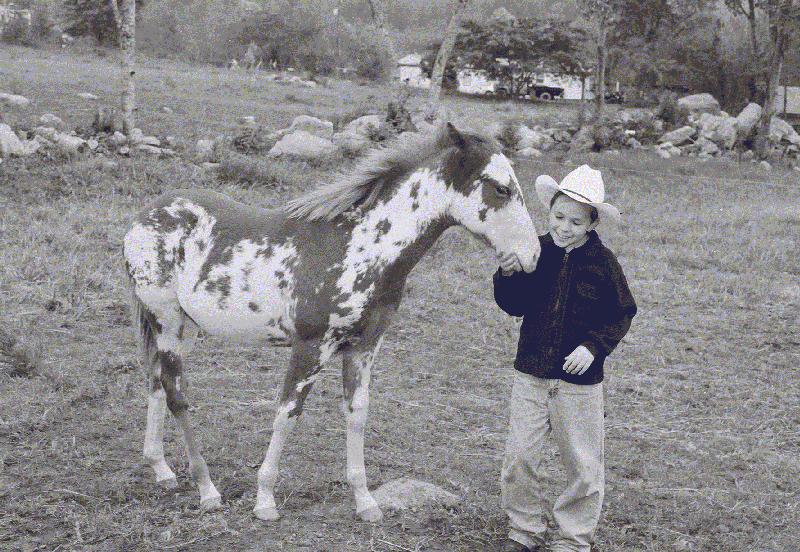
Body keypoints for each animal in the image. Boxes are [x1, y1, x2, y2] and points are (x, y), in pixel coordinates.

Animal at [123, 122, 540, 522]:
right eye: (501, 188)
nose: (533, 255)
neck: (360, 247)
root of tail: (143, 216)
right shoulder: (311, 346)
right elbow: (287, 413)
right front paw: (265, 500)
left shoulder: (363, 348)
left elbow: (357, 415)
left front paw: (365, 502)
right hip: (166, 321)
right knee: (176, 395)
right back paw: (207, 490)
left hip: (184, 329)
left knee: (156, 384)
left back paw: (162, 470)